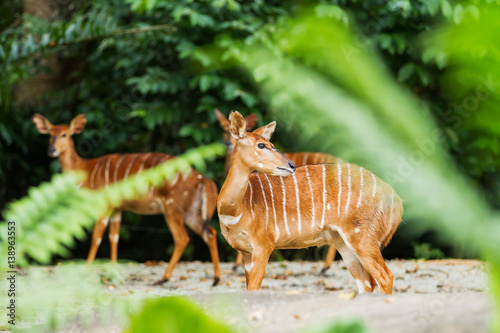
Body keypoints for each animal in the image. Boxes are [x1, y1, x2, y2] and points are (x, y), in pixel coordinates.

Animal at [33, 113, 221, 284]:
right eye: (50, 134)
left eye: (65, 134)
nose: (52, 150)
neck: (85, 170)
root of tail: (201, 177)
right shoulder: (117, 208)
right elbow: (114, 238)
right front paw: (114, 274)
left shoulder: (104, 205)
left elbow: (96, 238)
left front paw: (85, 273)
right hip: (191, 212)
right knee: (210, 232)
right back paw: (216, 278)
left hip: (171, 207)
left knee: (182, 238)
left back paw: (164, 278)